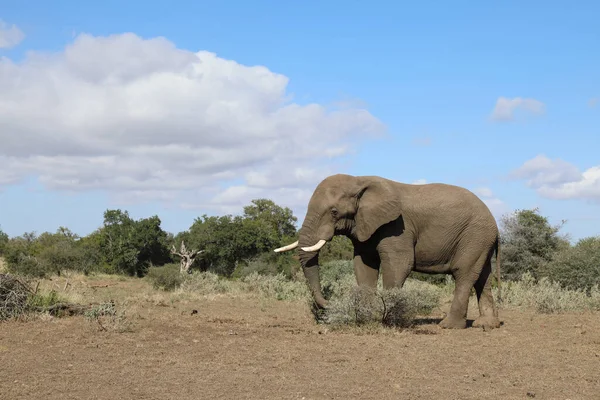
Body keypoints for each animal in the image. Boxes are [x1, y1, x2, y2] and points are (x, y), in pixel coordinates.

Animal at [276, 173, 502, 330]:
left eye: (334, 212)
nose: (329, 301)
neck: (359, 181)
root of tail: (495, 223)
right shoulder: (366, 227)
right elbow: (363, 265)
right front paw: (366, 317)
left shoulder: (397, 227)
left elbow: (398, 264)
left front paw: (389, 320)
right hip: (480, 240)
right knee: (483, 278)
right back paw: (486, 325)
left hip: (474, 235)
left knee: (463, 274)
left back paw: (448, 326)